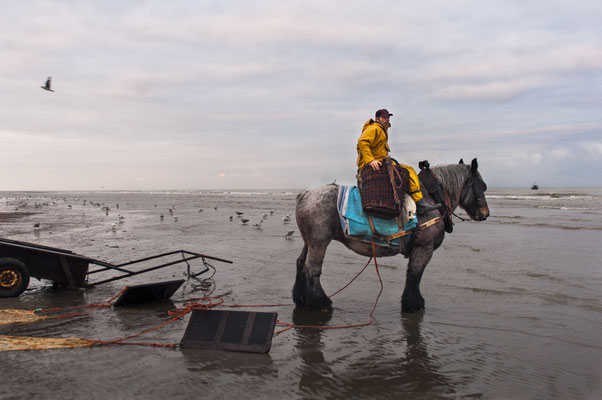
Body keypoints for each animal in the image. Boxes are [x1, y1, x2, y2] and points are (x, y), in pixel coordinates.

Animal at [294, 159, 488, 312]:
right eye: (482, 186)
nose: (485, 213)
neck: (433, 198)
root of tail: (306, 194)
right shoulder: (424, 249)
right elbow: (415, 275)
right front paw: (413, 304)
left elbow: (412, 275)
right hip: (319, 243)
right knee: (312, 269)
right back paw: (320, 302)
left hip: (309, 242)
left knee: (301, 263)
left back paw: (301, 298)